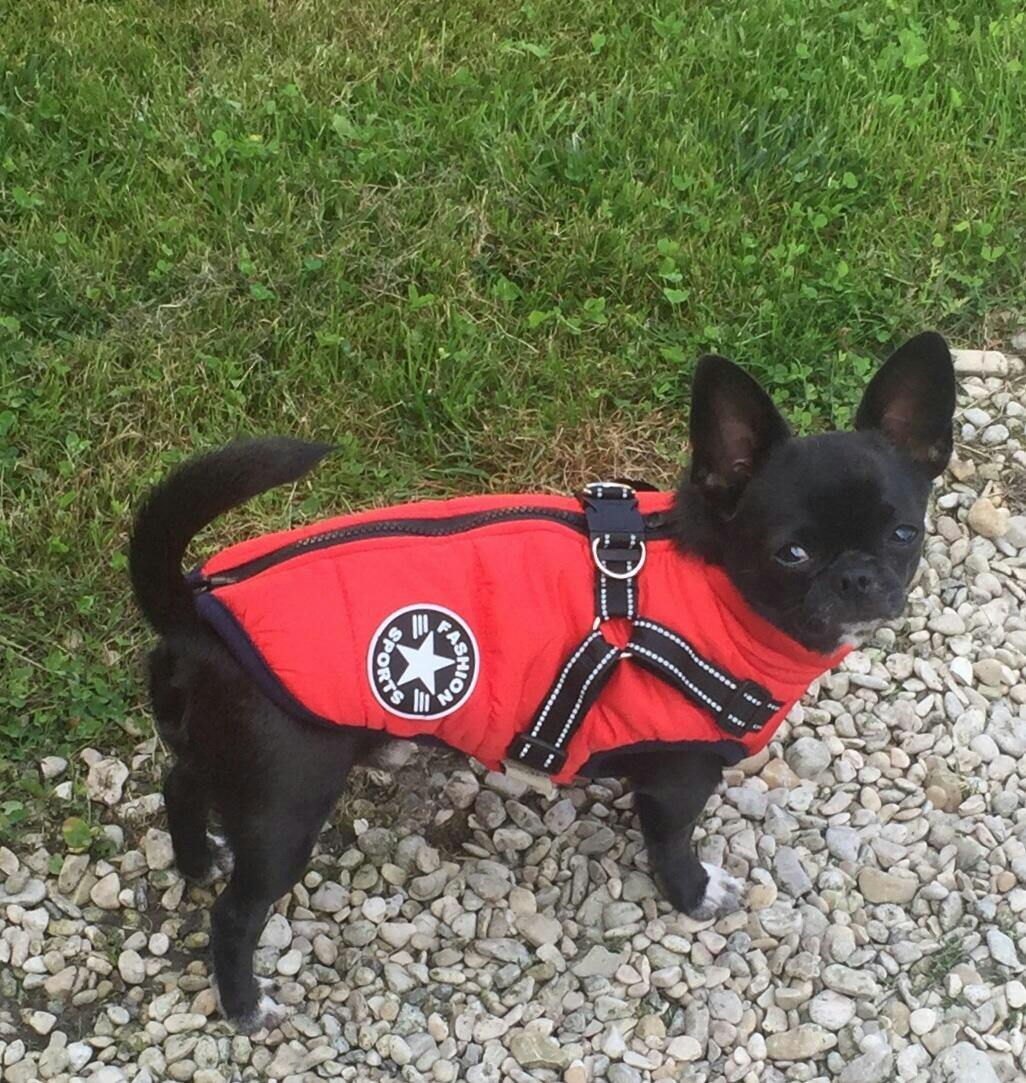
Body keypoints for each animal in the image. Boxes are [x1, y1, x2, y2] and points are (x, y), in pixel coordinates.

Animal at [129, 331, 954, 1031]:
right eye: (792, 553)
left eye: (903, 533)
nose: (858, 574)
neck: (713, 584)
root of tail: (195, 614)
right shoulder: (678, 780)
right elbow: (674, 843)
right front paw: (693, 893)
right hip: (285, 805)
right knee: (236, 914)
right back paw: (244, 1002)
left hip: (228, 760)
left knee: (180, 783)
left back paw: (199, 858)